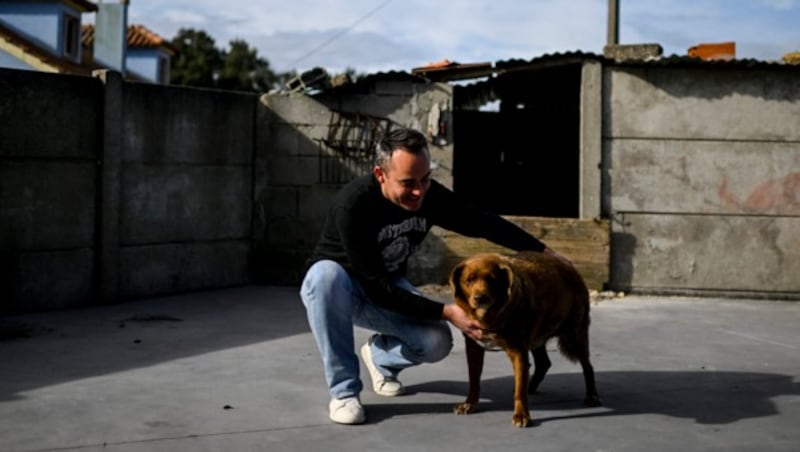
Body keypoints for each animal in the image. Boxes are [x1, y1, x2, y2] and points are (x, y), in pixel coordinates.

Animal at [450, 251, 600, 428]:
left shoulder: (518, 350)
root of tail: (569, 266)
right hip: (539, 334)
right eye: (469, 280)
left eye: (492, 280)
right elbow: (474, 379)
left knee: (588, 366)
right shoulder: (473, 346)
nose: (480, 298)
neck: (490, 316)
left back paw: (592, 396)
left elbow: (520, 392)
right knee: (543, 363)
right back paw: (531, 386)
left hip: (574, 336)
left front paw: (521, 415)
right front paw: (469, 404)